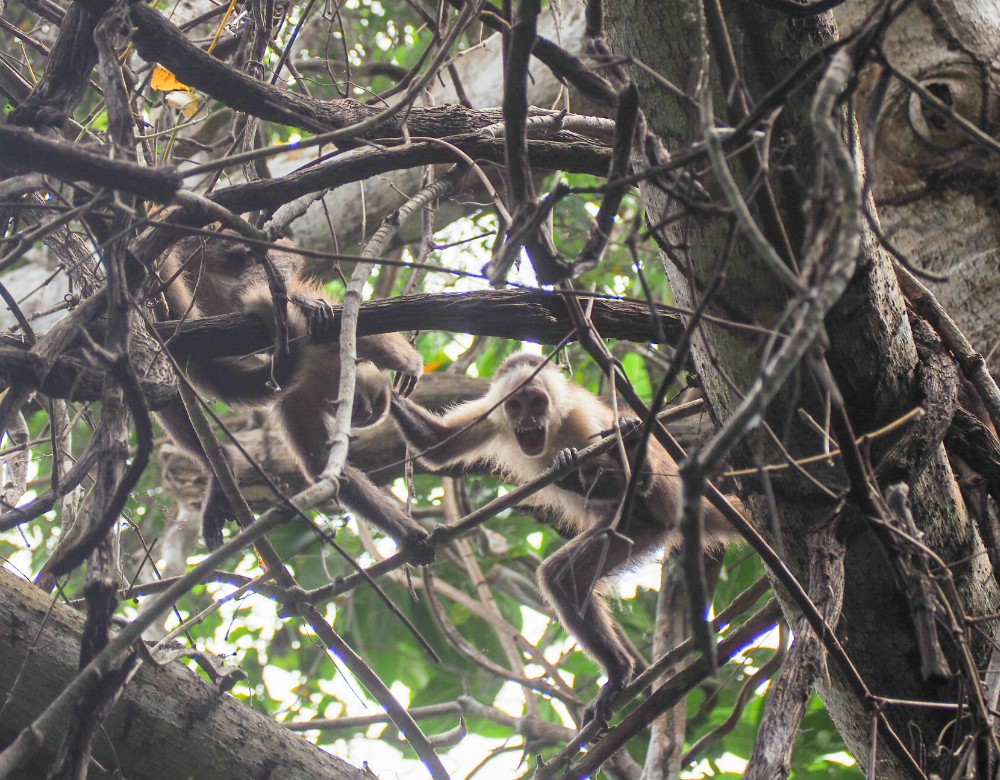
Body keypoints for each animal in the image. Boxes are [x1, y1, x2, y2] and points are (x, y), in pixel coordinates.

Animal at [153, 230, 433, 563]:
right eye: (366, 404)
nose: (363, 414)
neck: (322, 371)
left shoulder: (297, 396)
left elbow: (322, 464)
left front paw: (410, 534)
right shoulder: (341, 343)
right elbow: (377, 338)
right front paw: (412, 365)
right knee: (255, 258)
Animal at [388, 352, 740, 725]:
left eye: (537, 402)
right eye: (516, 405)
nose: (528, 419)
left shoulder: (580, 417)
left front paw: (598, 465)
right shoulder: (492, 414)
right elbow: (436, 445)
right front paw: (387, 392)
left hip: (657, 505)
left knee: (638, 482)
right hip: (634, 528)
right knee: (563, 576)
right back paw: (618, 671)